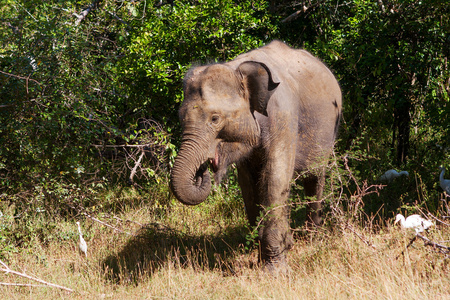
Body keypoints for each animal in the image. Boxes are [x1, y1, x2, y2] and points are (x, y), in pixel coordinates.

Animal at [169, 40, 342, 274]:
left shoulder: (283, 115)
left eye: (215, 118)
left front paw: (275, 270)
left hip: (330, 128)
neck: (237, 68)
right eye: (180, 117)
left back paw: (313, 238)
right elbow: (248, 186)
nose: (201, 171)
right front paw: (264, 255)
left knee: (315, 177)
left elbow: (274, 180)